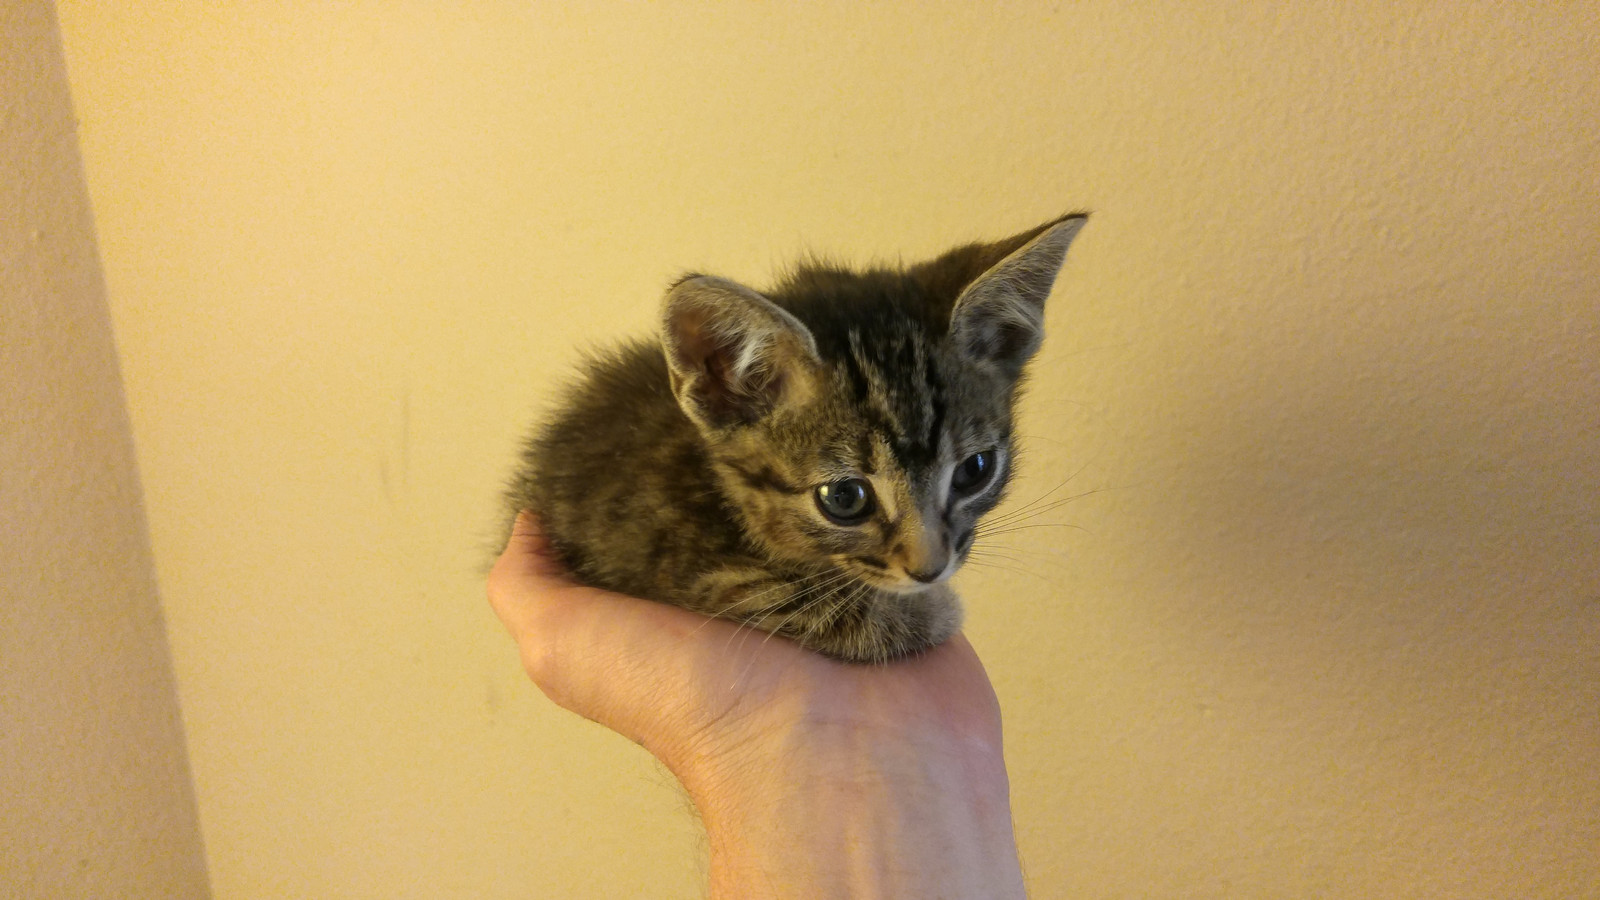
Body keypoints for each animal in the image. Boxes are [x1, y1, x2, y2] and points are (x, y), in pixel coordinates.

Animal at [508, 209, 1088, 659]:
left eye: (976, 470)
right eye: (845, 498)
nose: (931, 570)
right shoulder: (715, 583)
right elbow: (841, 612)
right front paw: (936, 610)